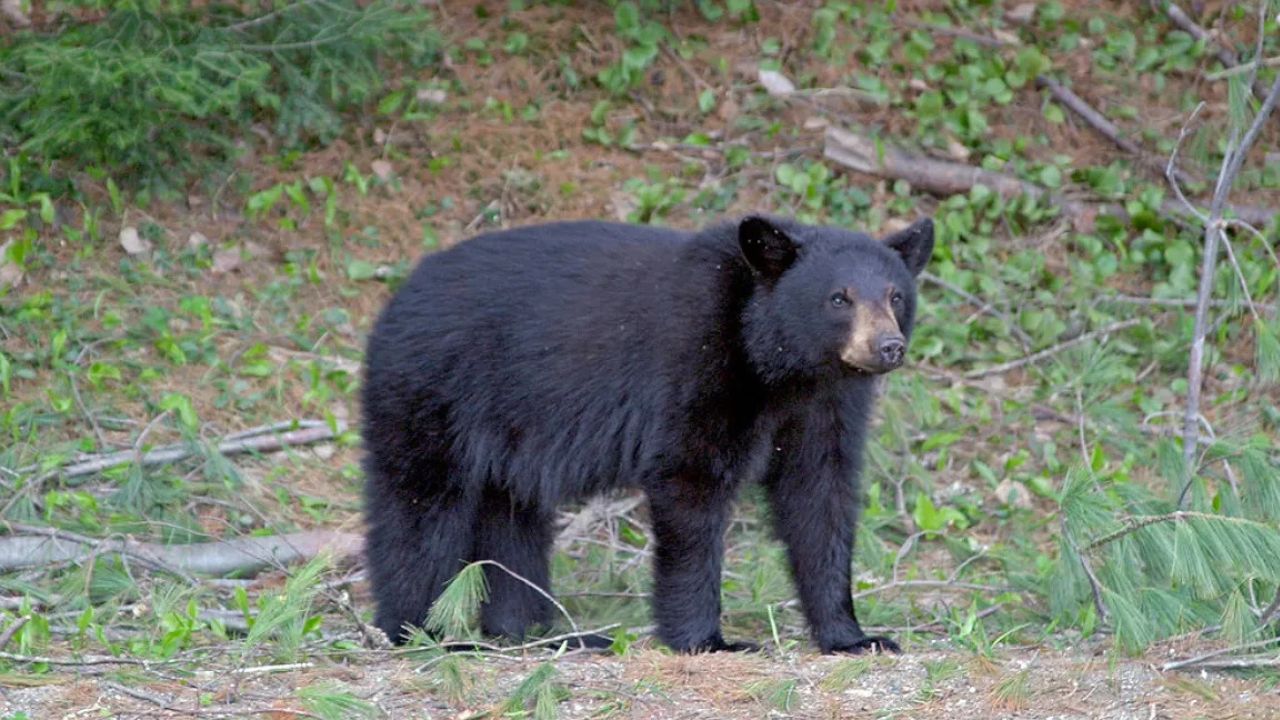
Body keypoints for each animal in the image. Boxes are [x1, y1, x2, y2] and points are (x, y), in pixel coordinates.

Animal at [360, 214, 933, 654]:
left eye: (895, 296)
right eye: (839, 299)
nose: (888, 347)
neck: (780, 365)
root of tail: (396, 298)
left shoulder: (825, 406)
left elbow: (820, 497)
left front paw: (854, 636)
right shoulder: (696, 366)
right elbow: (690, 483)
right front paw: (707, 639)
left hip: (509, 433)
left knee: (512, 515)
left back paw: (539, 632)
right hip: (435, 393)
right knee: (420, 508)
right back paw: (427, 632)